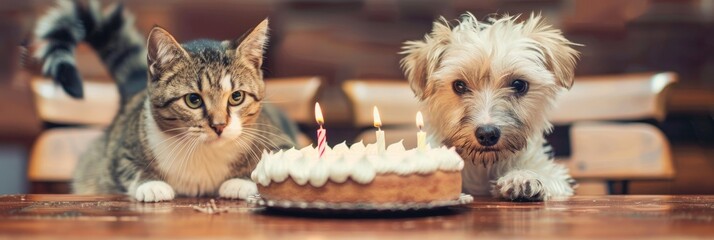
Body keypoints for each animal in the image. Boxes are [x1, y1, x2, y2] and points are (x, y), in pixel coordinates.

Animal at [34, 0, 296, 202]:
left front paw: (240, 182)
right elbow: (127, 167)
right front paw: (151, 184)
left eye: (236, 97)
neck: (204, 152)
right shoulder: (118, 152)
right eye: (193, 100)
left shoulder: (278, 138)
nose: (219, 125)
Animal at [400, 13, 580, 201]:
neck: (483, 165)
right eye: (459, 85)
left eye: (519, 85)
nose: (487, 134)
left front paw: (522, 177)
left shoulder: (554, 173)